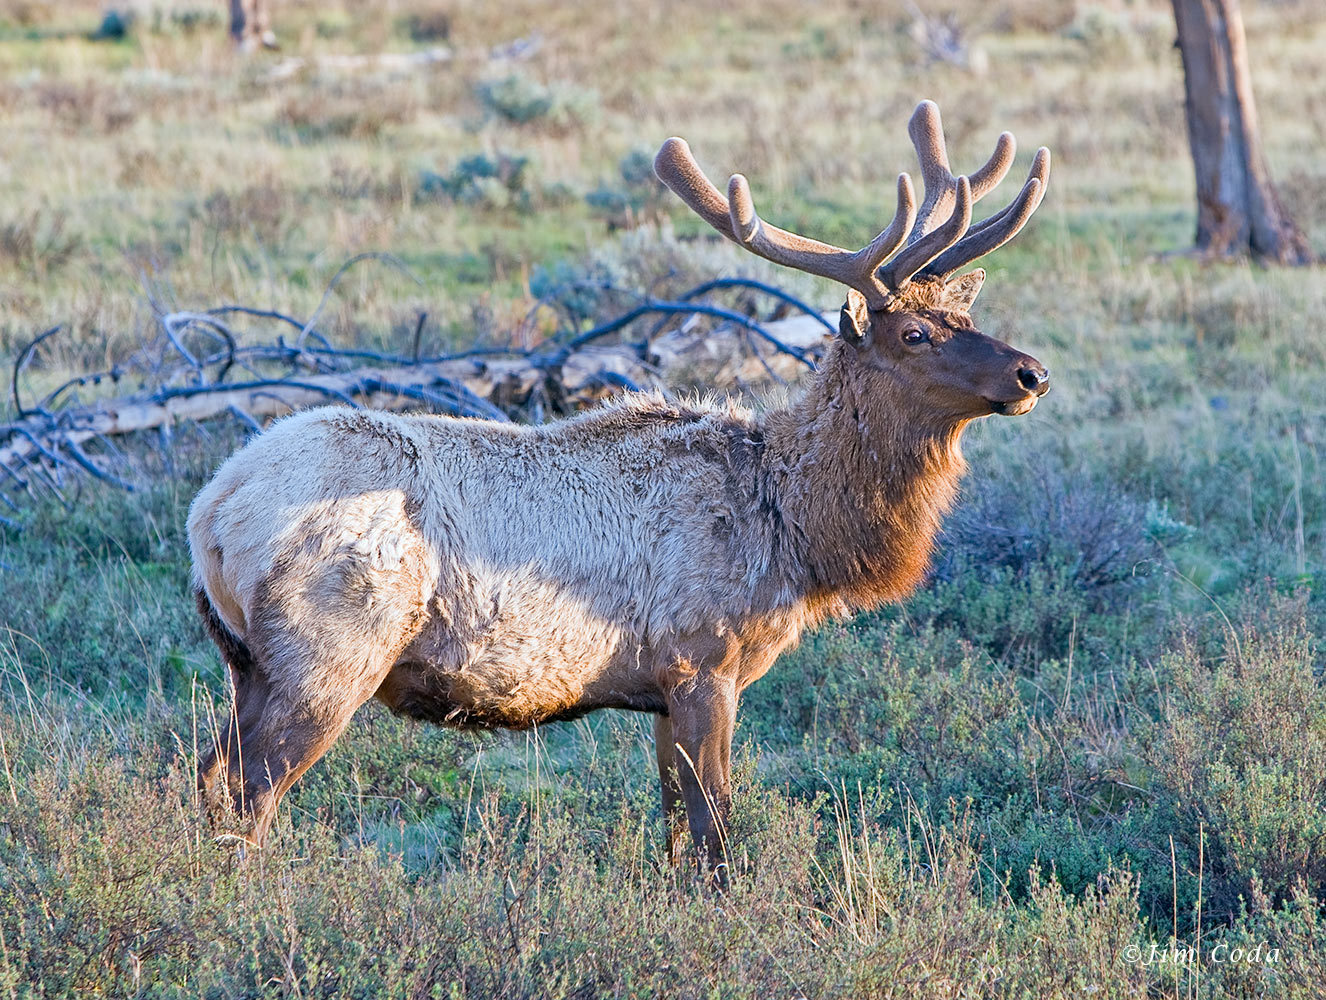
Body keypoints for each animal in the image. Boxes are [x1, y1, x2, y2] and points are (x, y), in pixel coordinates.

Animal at [192, 97, 1050, 870]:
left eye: (964, 317)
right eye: (914, 333)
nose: (1031, 372)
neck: (795, 532)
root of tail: (210, 516)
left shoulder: (663, 690)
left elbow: (675, 834)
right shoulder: (702, 659)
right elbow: (713, 837)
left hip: (247, 661)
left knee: (209, 775)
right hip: (329, 652)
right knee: (252, 791)